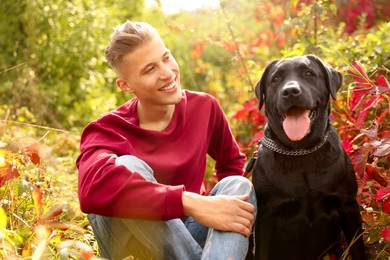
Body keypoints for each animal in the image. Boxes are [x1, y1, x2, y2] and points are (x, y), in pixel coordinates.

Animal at [250, 54, 366, 258]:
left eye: (308, 73)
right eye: (276, 79)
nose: (290, 91)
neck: (301, 152)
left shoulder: (348, 205)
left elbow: (358, 248)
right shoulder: (265, 217)